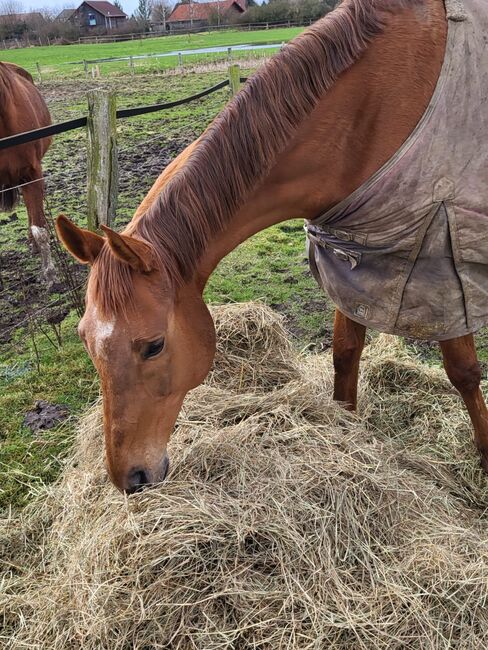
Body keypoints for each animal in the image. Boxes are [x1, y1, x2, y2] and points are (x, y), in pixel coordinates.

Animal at [57, 0, 488, 494]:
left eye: (153, 346)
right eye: (84, 339)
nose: (131, 479)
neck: (368, 112)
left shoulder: (440, 256)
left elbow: (463, 371)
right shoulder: (355, 259)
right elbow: (345, 354)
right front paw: (347, 429)